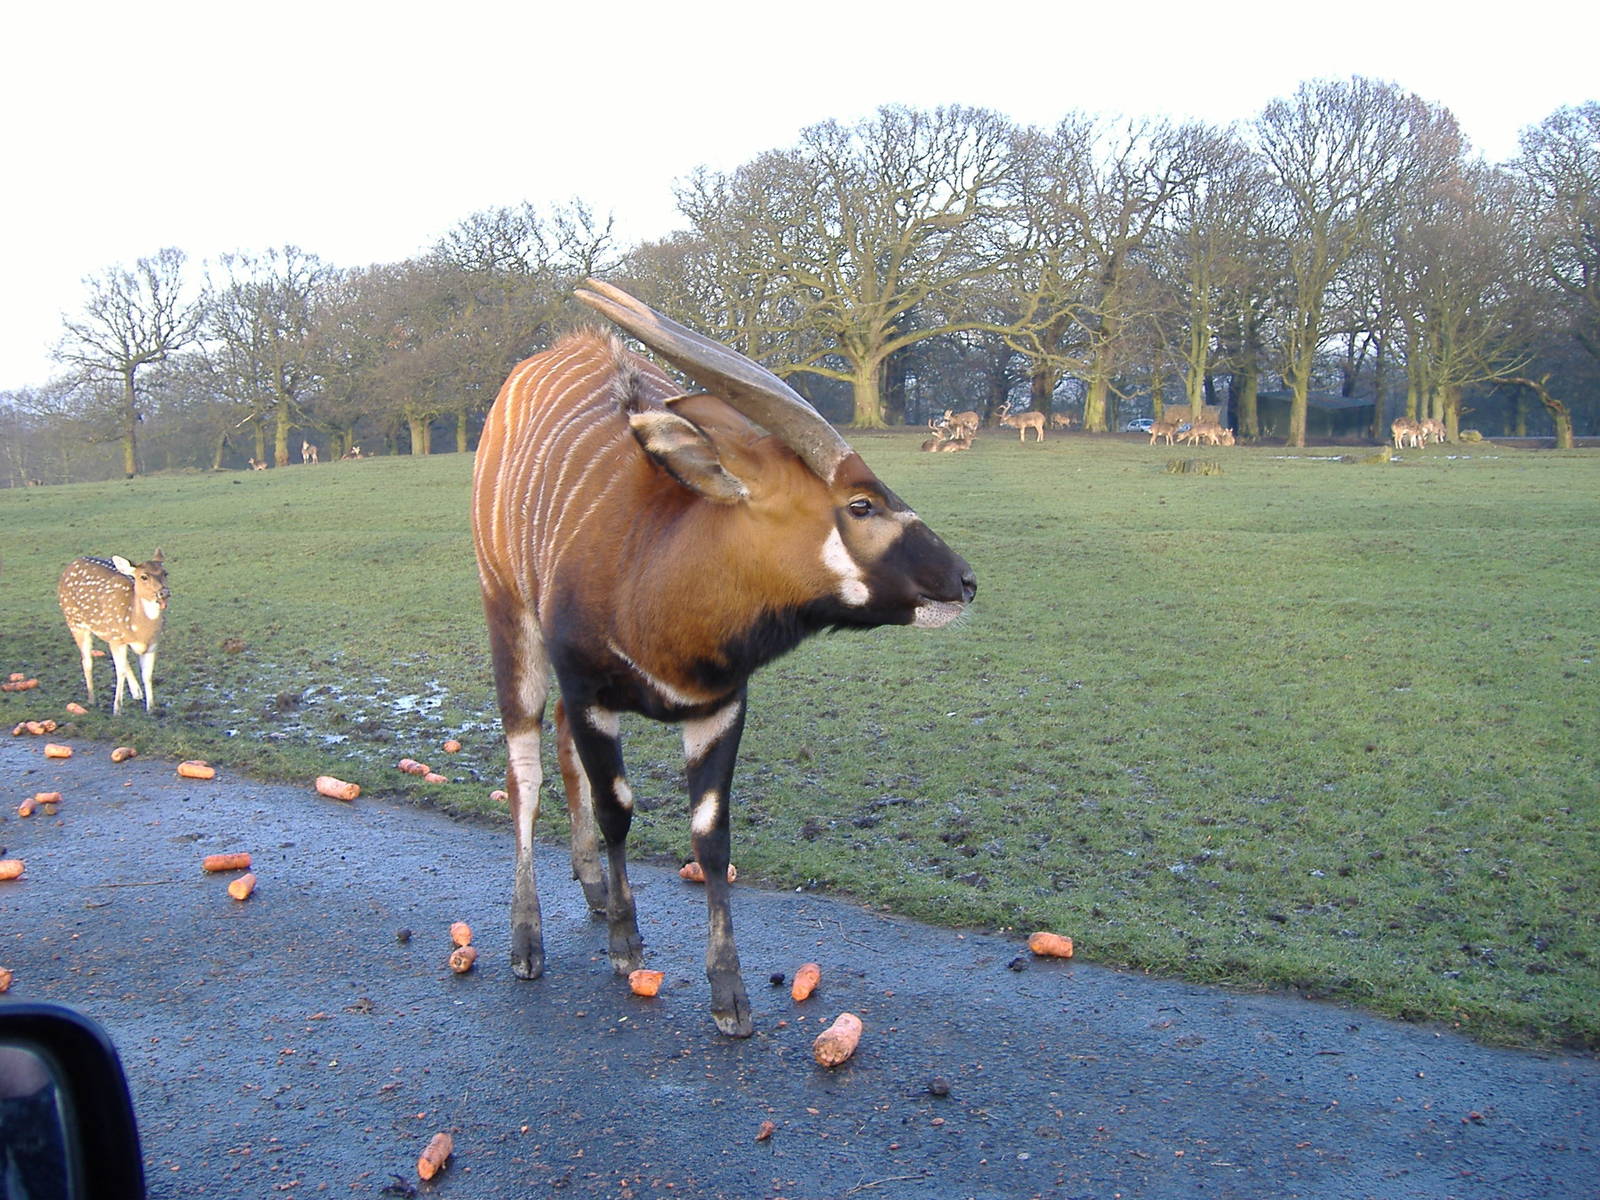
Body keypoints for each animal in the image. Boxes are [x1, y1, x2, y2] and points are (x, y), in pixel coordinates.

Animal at [57, 551, 168, 715]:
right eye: (143, 576)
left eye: (165, 573)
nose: (164, 592)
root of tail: (71, 564)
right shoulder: (117, 639)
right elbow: (119, 672)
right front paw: (117, 709)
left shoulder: (152, 644)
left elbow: (147, 675)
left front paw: (151, 708)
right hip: (75, 622)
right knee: (87, 660)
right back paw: (91, 699)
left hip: (107, 631)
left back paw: (136, 692)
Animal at [471, 281, 975, 1037]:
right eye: (860, 504)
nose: (965, 581)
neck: (656, 561)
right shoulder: (590, 691)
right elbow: (618, 808)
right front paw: (625, 945)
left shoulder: (718, 708)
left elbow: (711, 837)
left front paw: (729, 995)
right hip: (510, 622)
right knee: (523, 768)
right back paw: (528, 938)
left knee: (557, 750)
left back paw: (592, 886)